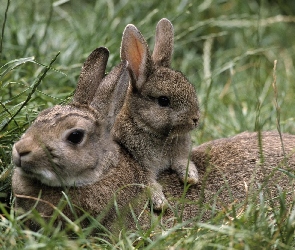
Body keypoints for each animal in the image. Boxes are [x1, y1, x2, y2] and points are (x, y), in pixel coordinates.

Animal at [112, 17, 200, 210]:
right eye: (163, 101)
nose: (195, 119)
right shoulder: (140, 164)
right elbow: (148, 182)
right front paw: (160, 202)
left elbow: (182, 162)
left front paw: (191, 177)